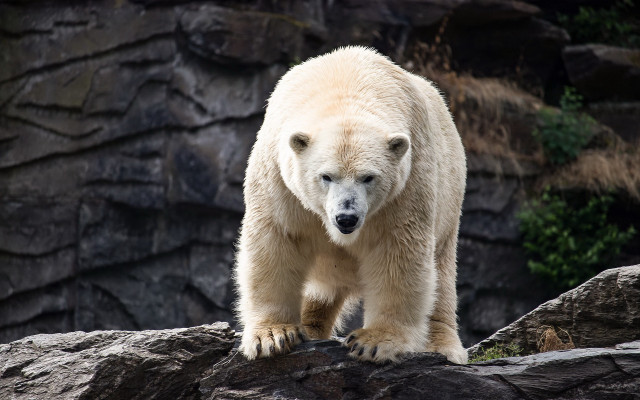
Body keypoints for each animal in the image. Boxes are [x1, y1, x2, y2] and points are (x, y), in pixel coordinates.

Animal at [235, 46, 468, 364]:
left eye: (368, 177)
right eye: (326, 176)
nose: (346, 218)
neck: (346, 82)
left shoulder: (406, 185)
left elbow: (398, 253)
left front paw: (374, 342)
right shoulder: (279, 180)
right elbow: (274, 242)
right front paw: (272, 336)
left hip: (449, 202)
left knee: (441, 276)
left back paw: (443, 346)